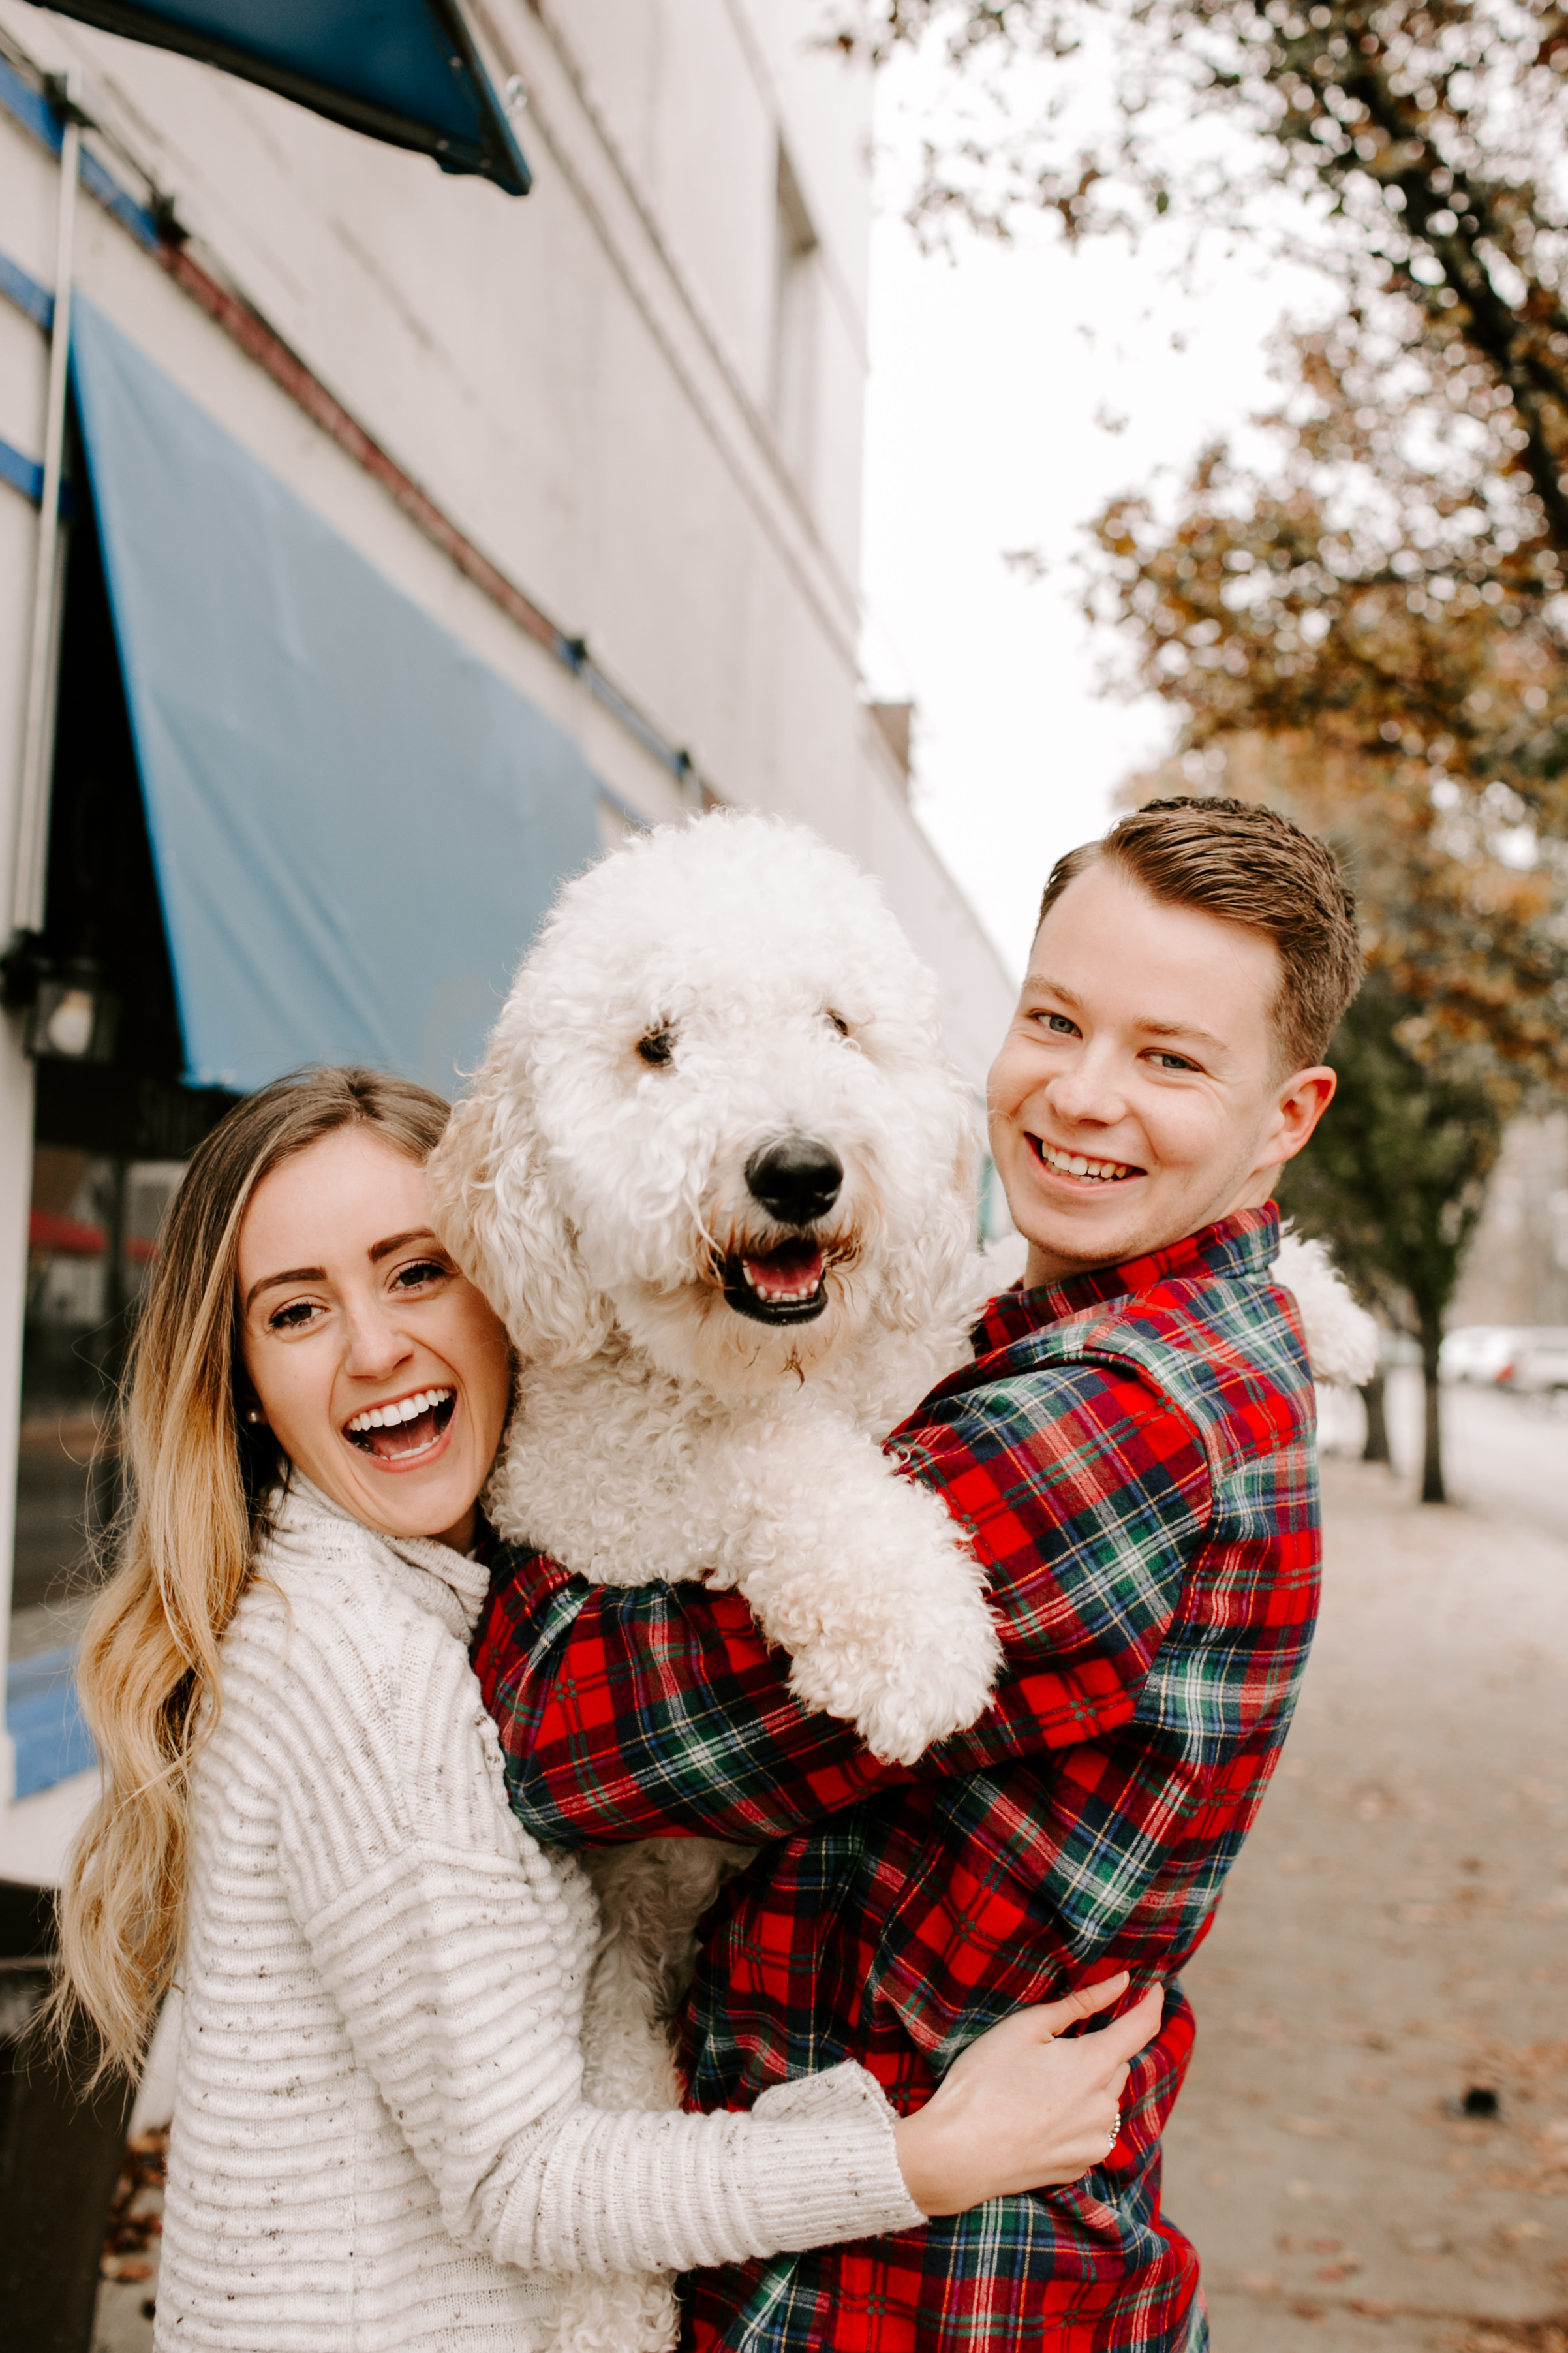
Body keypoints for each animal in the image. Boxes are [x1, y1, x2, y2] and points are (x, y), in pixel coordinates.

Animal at [430, 814, 1372, 2353]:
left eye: (837, 1024)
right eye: (654, 1045)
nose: (797, 1169)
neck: (791, 1359)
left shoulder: (925, 1340)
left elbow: (975, 1273)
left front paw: (1328, 1301)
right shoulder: (594, 1486)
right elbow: (759, 1461)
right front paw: (914, 1629)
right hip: (621, 1974)